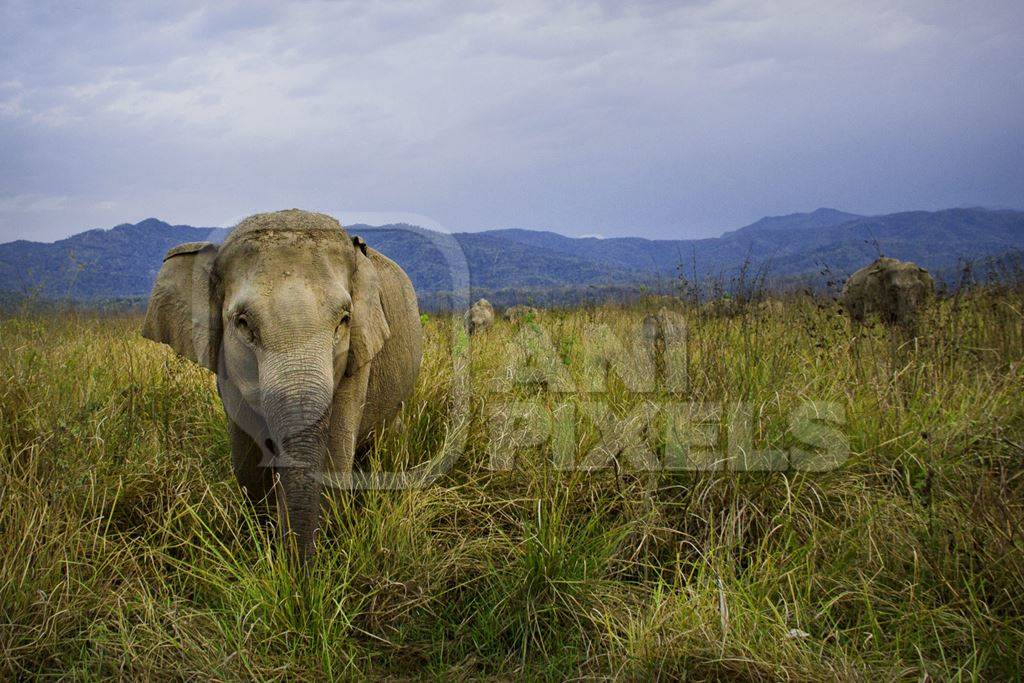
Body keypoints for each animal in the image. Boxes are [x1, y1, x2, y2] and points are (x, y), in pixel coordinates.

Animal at [140, 210, 419, 557]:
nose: (297, 567)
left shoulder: (359, 356)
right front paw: (265, 545)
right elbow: (248, 461)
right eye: (243, 323)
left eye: (344, 319)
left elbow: (335, 456)